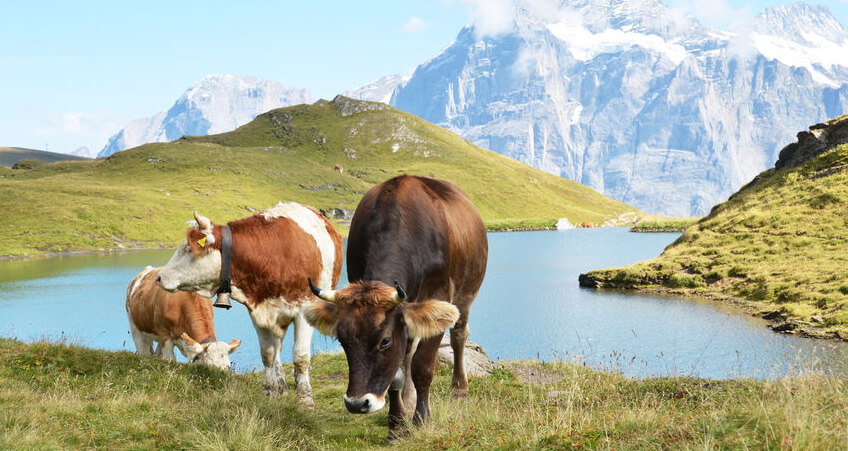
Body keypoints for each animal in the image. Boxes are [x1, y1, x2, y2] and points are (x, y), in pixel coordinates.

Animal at [157, 203, 342, 408]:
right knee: (277, 349)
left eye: (188, 248)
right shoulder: (258, 313)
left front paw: (305, 400)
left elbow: (300, 357)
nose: (159, 277)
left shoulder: (304, 309)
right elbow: (267, 355)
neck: (274, 253)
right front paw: (269, 391)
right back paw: (281, 385)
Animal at [304, 177, 490, 442]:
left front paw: (422, 419)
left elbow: (423, 366)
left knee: (459, 335)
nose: (356, 403)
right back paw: (409, 399)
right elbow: (397, 372)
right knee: (409, 350)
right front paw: (397, 424)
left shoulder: (439, 299)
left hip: (466, 295)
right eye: (341, 340)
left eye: (385, 341)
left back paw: (459, 388)